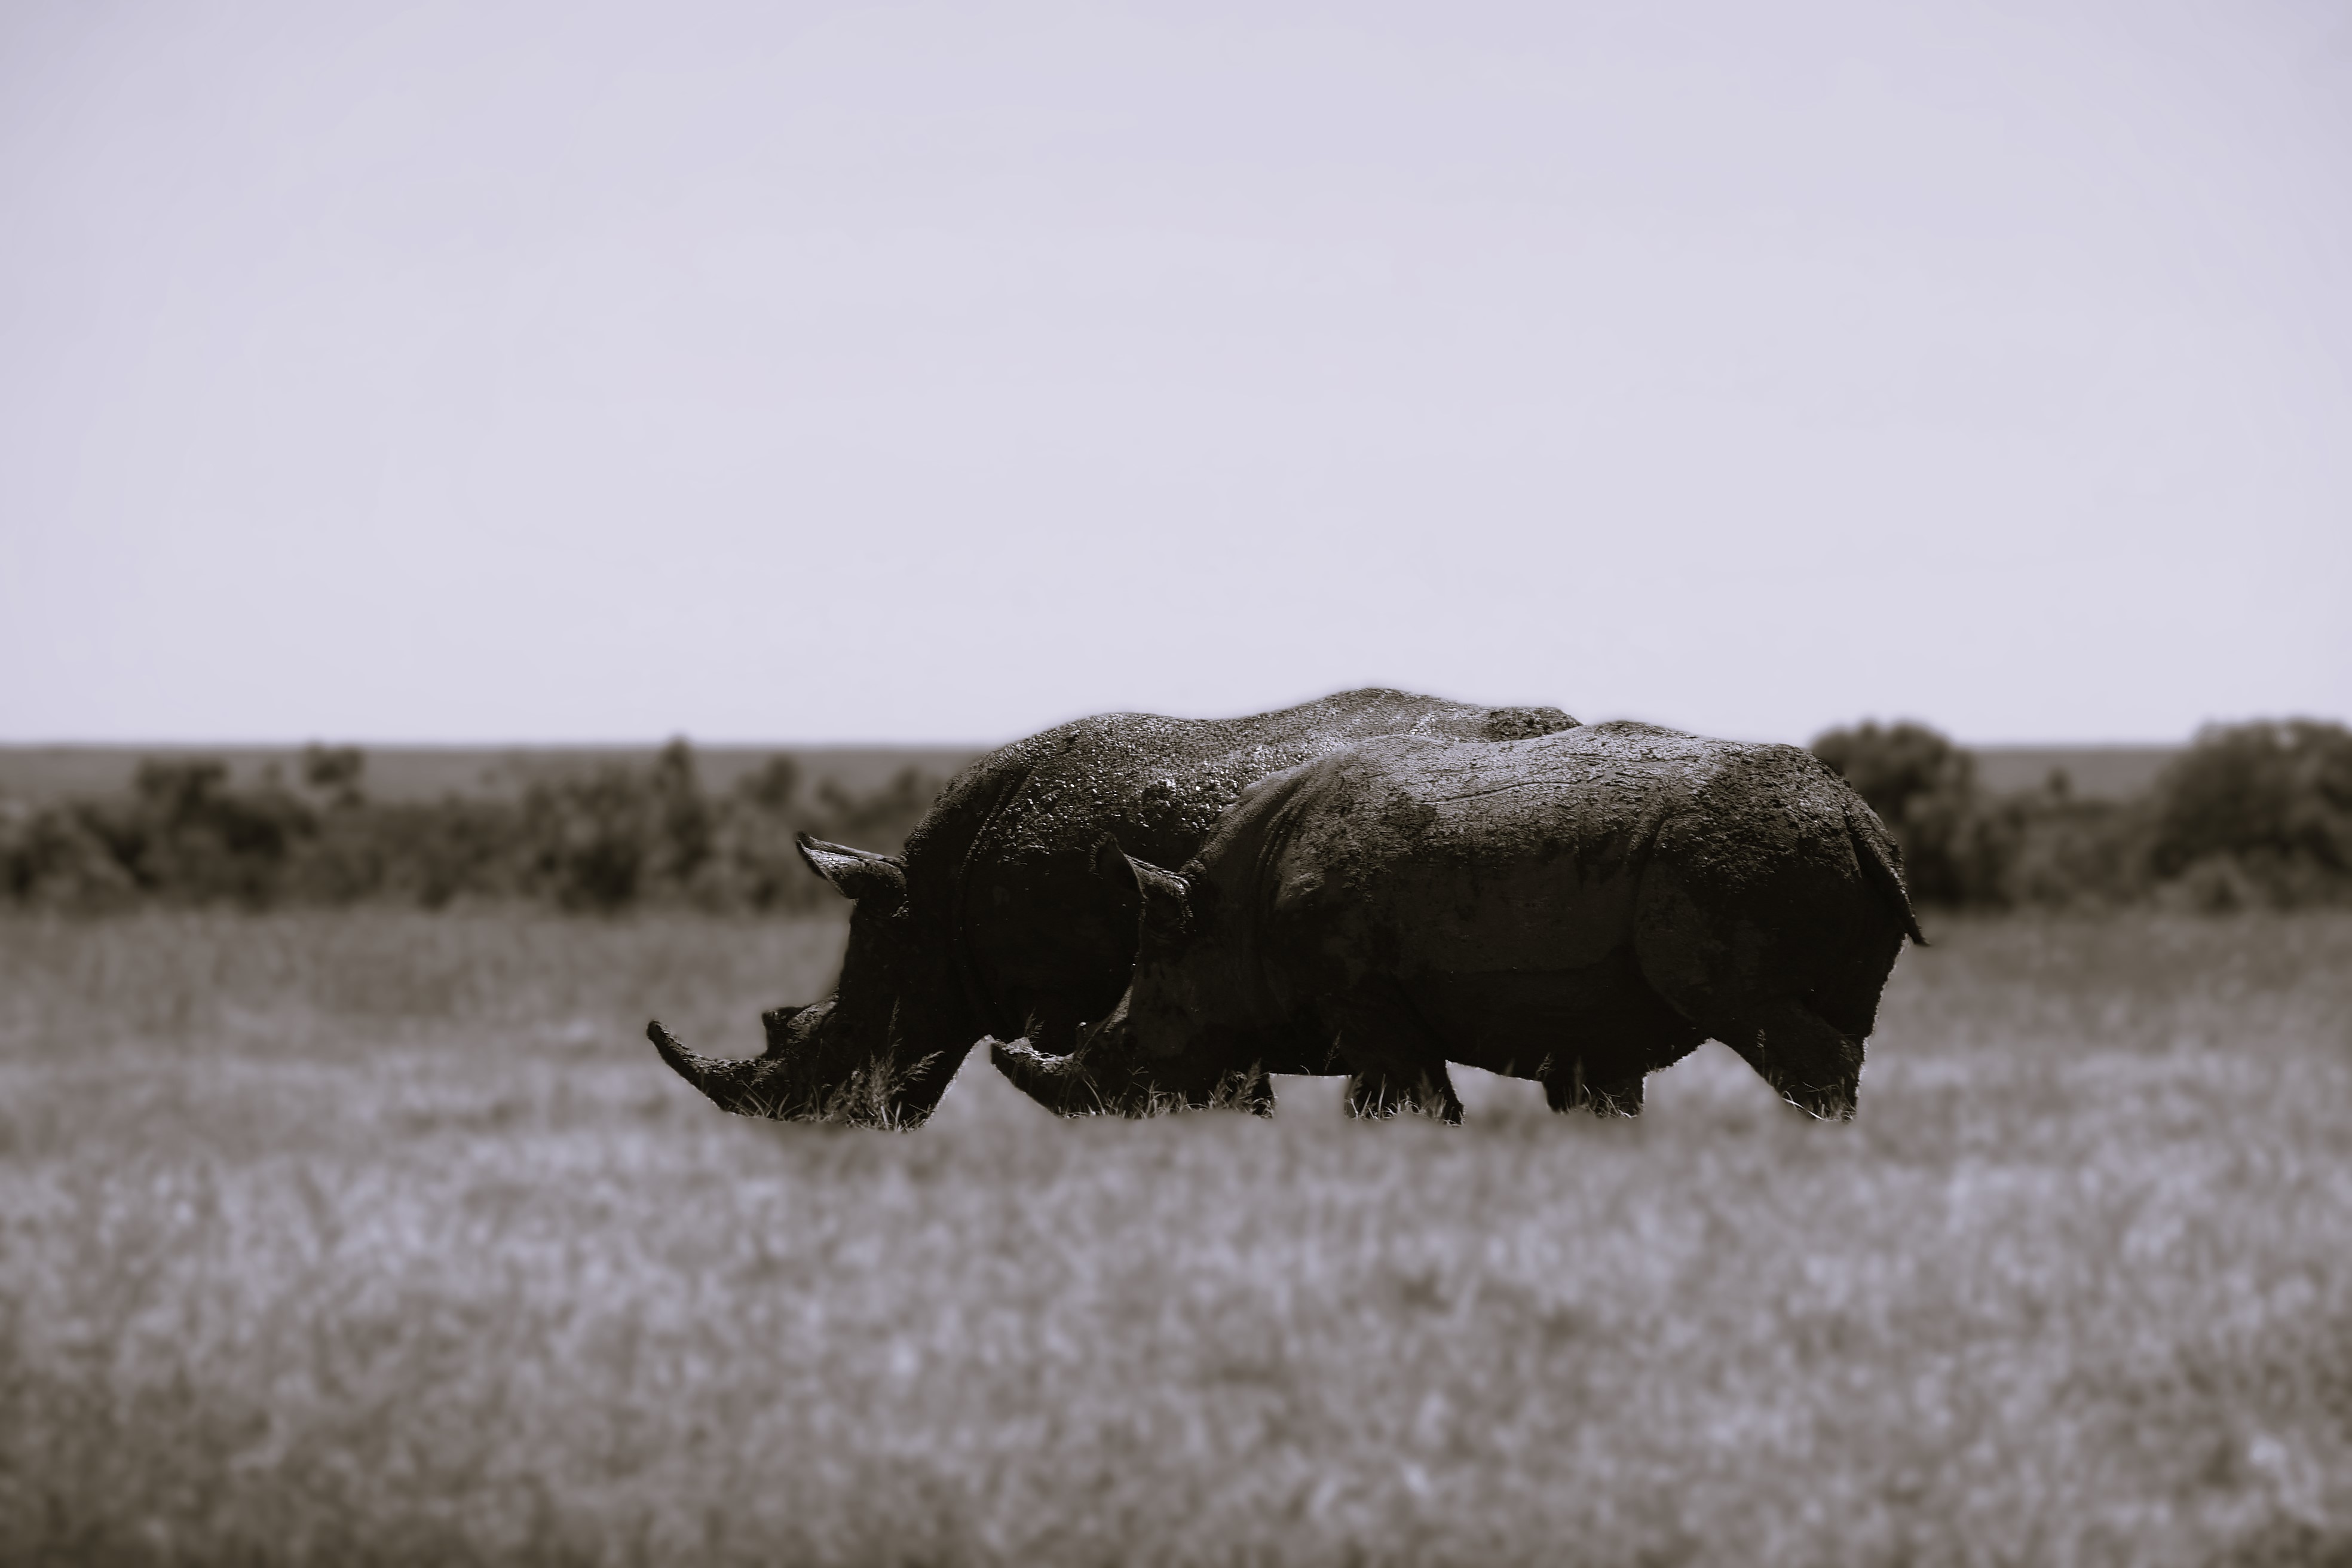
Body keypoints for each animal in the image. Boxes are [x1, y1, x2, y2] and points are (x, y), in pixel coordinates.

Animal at [990, 721, 1927, 1123]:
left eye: (1128, 1040)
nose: (1098, 1120)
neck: (1221, 920)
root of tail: (1852, 811)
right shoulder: (1587, 1024)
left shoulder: (1362, 995)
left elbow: (1406, 1095)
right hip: (1812, 849)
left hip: (1731, 863)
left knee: (1762, 1019)